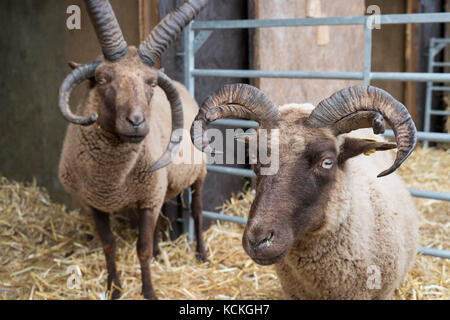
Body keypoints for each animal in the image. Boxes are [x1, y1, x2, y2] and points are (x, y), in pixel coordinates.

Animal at [57, 0, 210, 300]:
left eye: (151, 82)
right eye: (102, 79)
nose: (137, 122)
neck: (111, 181)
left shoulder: (148, 197)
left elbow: (142, 248)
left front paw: (149, 292)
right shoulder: (97, 202)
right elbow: (109, 245)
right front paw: (114, 289)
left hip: (199, 172)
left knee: (197, 211)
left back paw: (201, 255)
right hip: (162, 183)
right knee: (163, 214)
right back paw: (163, 252)